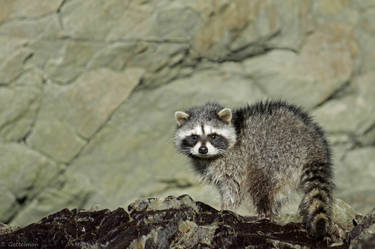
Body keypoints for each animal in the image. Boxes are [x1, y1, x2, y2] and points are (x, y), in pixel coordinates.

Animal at [175, 100, 336, 240]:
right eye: (194, 137)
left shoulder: (235, 162)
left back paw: (264, 212)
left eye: (213, 136)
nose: (203, 149)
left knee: (260, 183)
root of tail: (313, 145)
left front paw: (226, 208)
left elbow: (233, 188)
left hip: (277, 154)